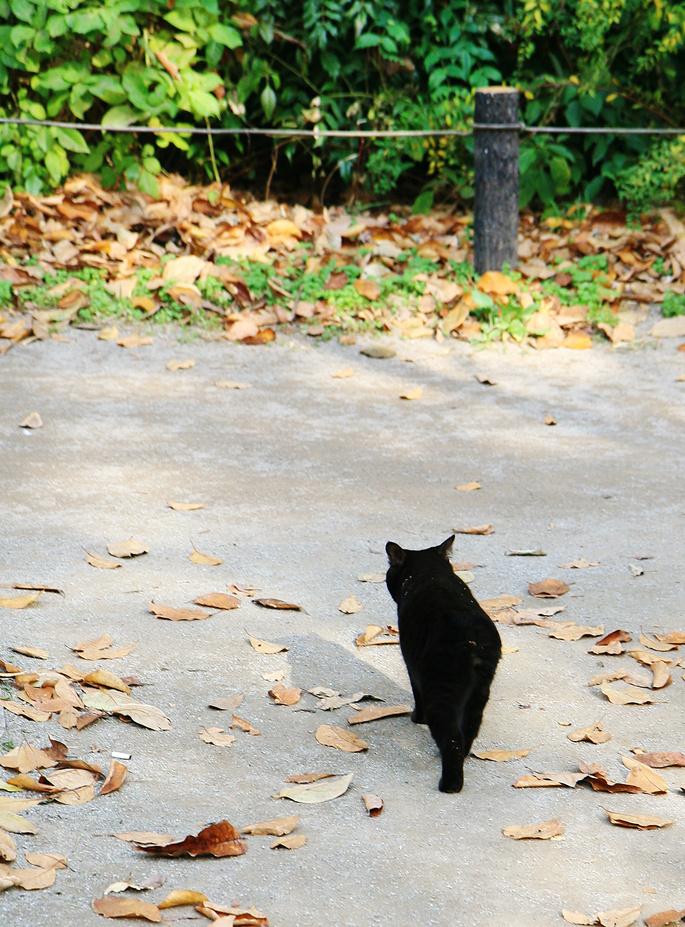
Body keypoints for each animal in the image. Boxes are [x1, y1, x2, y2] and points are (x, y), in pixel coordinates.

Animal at [384, 536, 502, 792]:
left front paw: (416, 718)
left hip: (442, 690)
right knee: (469, 728)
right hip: (479, 692)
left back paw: (450, 784)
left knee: (451, 737)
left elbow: (416, 693)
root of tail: (472, 634)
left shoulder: (411, 665)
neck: (431, 574)